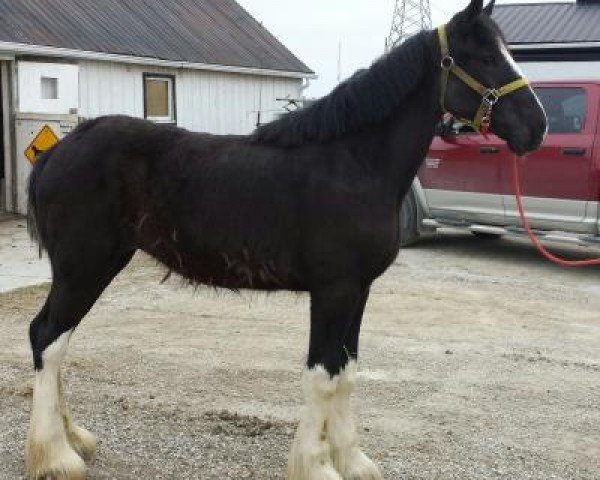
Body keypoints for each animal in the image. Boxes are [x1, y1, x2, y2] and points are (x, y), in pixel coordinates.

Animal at [24, 1, 548, 478]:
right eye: (484, 57)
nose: (537, 127)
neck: (353, 163)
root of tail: (59, 151)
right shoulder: (333, 290)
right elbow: (321, 376)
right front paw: (316, 466)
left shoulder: (359, 290)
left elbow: (346, 372)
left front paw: (353, 461)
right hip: (84, 267)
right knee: (48, 337)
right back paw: (57, 457)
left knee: (56, 341)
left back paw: (75, 439)